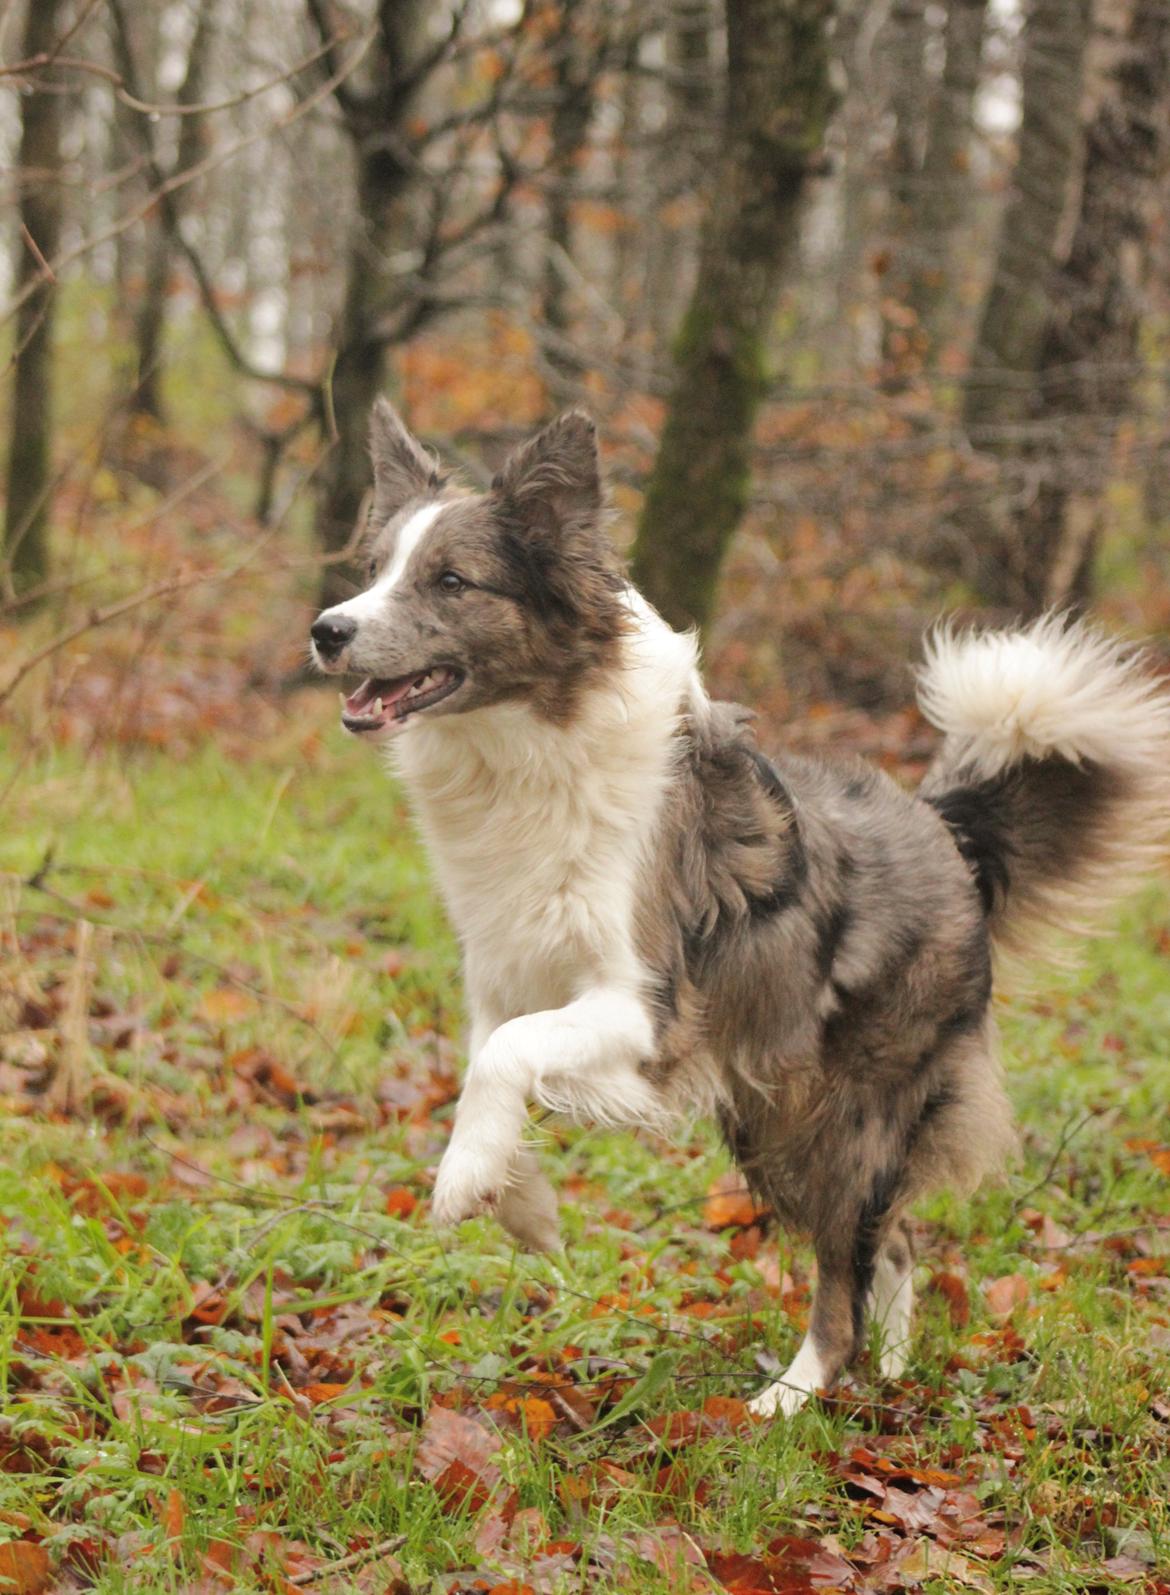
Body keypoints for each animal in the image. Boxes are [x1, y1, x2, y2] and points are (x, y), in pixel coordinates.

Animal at [312, 405, 1170, 1416]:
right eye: (375, 567)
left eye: (450, 579)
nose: (326, 630)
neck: (531, 745)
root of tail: (944, 827)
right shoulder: (506, 976)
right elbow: (482, 1063)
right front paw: (520, 1200)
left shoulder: (648, 1006)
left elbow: (506, 1057)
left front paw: (463, 1183)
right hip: (774, 1108)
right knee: (894, 1242)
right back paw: (891, 1371)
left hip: (842, 1120)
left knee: (845, 1266)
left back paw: (792, 1397)